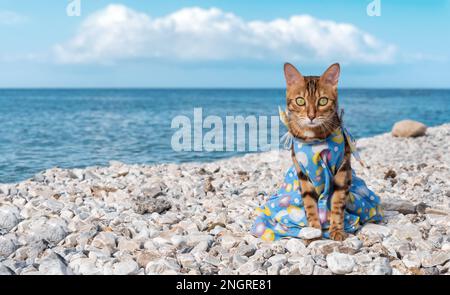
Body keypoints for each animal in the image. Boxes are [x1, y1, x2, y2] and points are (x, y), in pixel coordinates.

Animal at [284, 63, 350, 243]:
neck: (314, 139)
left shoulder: (342, 171)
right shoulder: (302, 173)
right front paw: (313, 230)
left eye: (323, 101)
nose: (311, 116)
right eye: (300, 101)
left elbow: (337, 204)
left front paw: (336, 230)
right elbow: (310, 204)